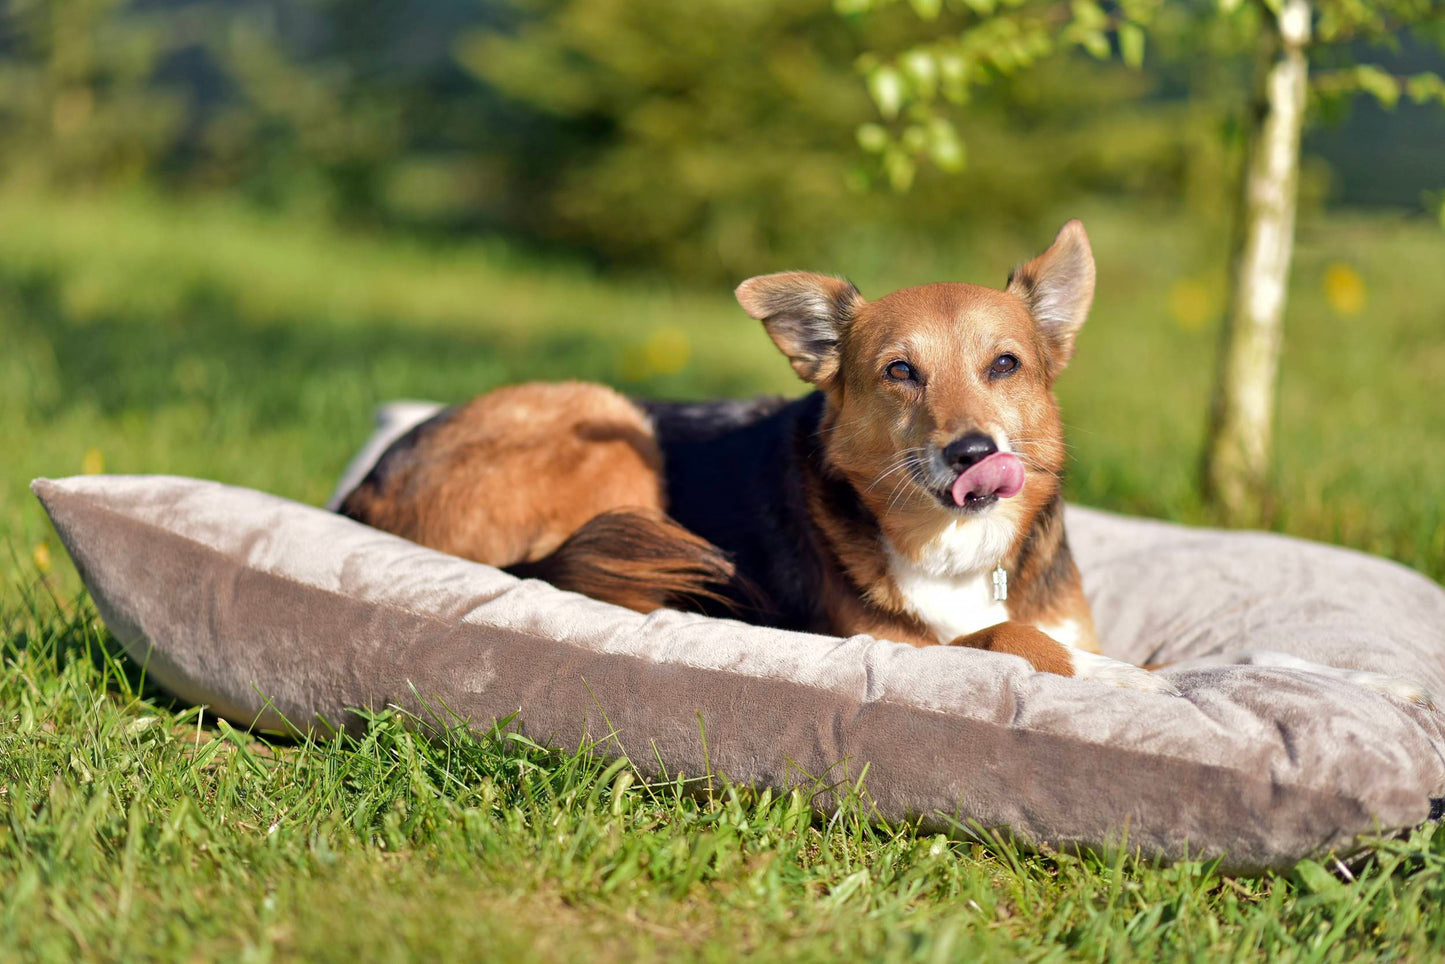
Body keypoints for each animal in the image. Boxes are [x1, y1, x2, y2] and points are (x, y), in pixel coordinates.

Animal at [343, 224, 1179, 693]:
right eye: (899, 371)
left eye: (1004, 365)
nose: (973, 452)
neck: (956, 548)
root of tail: (365, 492)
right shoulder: (888, 644)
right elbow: (1004, 637)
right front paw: (1118, 677)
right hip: (612, 425)